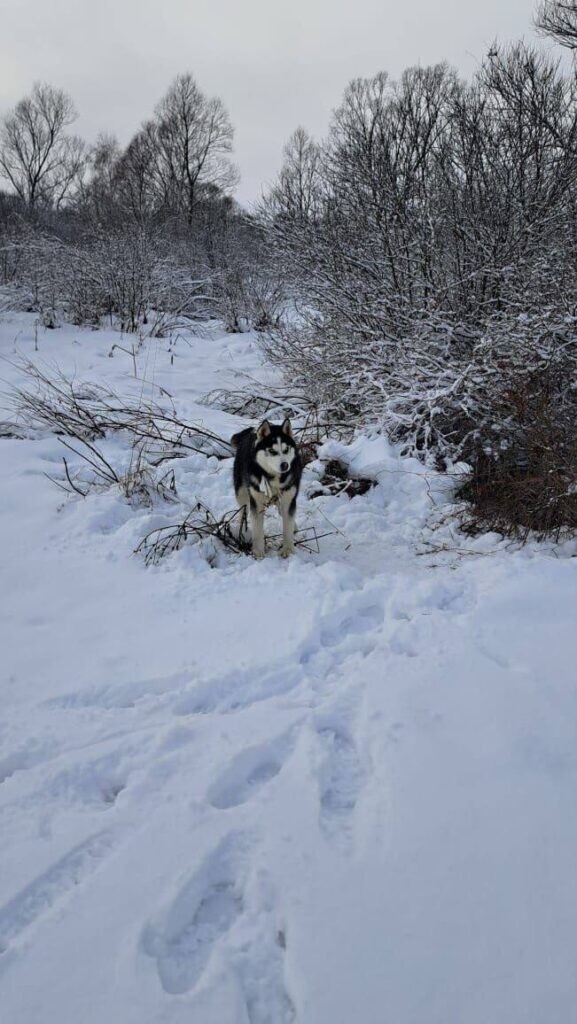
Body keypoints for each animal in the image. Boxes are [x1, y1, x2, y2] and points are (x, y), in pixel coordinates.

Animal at [230, 417, 303, 561]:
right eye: (272, 451)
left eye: (286, 450)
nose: (285, 465)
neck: (274, 478)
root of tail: (250, 432)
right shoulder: (257, 502)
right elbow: (258, 530)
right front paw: (258, 552)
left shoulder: (288, 499)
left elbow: (287, 526)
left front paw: (287, 549)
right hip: (241, 492)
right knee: (243, 510)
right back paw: (243, 529)